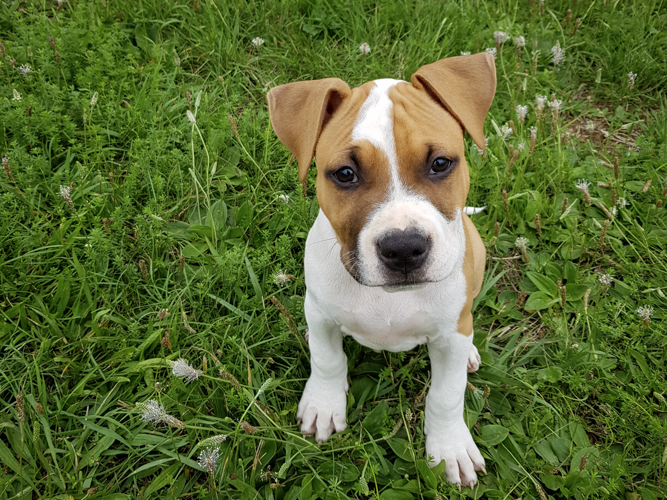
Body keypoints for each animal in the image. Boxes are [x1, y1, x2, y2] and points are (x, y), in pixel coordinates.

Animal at [268, 52, 496, 486]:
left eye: (440, 164)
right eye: (345, 174)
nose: (404, 248)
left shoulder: (450, 335)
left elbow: (446, 395)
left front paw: (450, 447)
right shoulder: (320, 312)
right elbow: (327, 359)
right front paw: (324, 406)